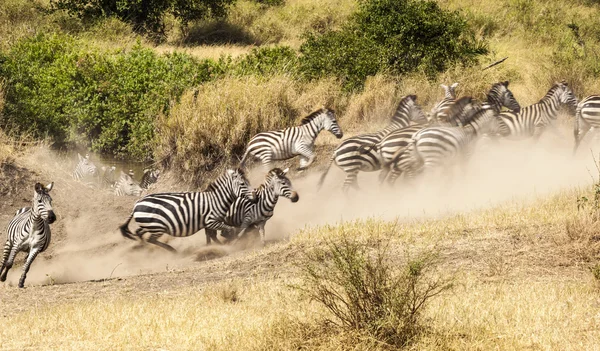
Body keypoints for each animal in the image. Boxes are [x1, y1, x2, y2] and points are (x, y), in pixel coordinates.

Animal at [118, 169, 256, 252]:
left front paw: (212, 247)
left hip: (149, 225)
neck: (216, 199)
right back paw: (173, 251)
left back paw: (144, 249)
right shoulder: (211, 221)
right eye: (243, 184)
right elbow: (227, 230)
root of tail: (137, 203)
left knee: (139, 233)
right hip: (157, 227)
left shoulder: (208, 223)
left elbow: (210, 236)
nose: (256, 196)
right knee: (151, 239)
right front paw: (227, 242)